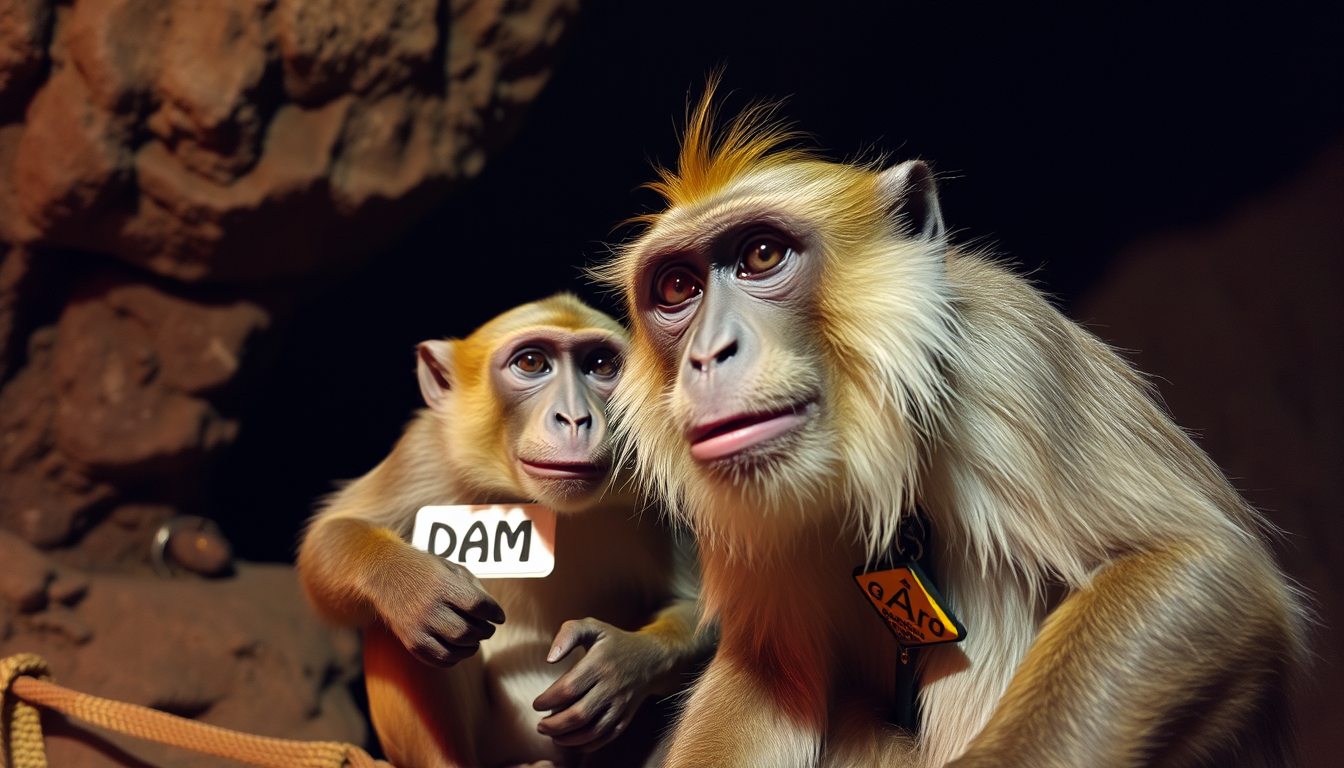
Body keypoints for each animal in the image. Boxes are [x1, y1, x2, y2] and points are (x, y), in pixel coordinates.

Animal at [296, 295, 712, 768]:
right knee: (400, 629)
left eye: (602, 364)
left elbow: (706, 610)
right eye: (531, 362)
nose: (574, 418)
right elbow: (330, 536)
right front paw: (415, 586)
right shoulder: (426, 450)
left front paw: (622, 664)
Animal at [594, 88, 1307, 768]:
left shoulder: (1008, 359)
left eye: (761, 255)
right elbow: (769, 669)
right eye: (678, 289)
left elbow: (1204, 565)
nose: (708, 353)